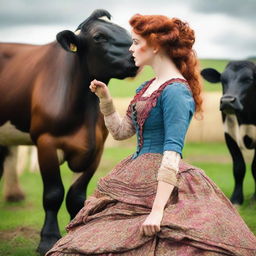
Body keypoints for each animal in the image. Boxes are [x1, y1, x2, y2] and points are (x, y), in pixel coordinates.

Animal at [0, 9, 138, 255]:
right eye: (99, 37)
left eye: (126, 32)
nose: (135, 57)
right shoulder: (46, 142)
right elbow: (53, 194)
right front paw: (48, 239)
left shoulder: (96, 148)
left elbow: (76, 196)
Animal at [201, 61, 256, 206]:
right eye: (222, 80)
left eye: (248, 79)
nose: (227, 101)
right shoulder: (229, 135)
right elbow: (238, 167)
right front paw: (236, 199)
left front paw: (254, 199)